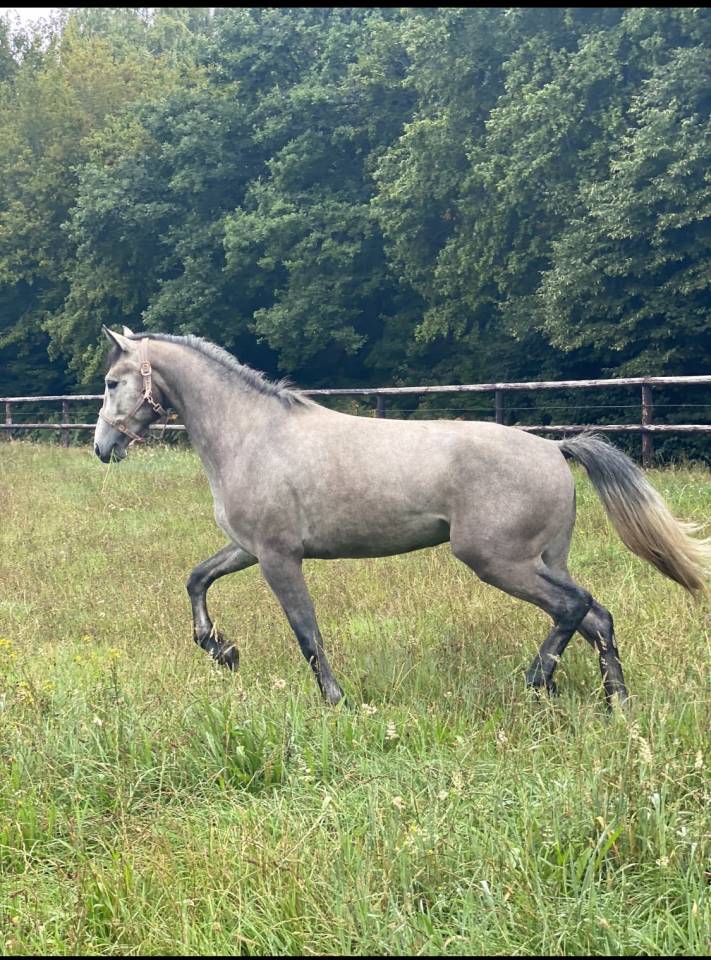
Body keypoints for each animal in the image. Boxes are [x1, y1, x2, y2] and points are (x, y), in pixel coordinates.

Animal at [93, 327, 710, 707]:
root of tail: (554, 448)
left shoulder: (277, 556)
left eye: (111, 382)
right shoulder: (248, 548)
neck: (251, 434)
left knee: (574, 607)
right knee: (597, 617)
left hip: (499, 562)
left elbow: (306, 630)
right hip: (543, 559)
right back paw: (616, 704)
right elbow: (196, 579)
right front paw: (223, 650)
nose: (103, 447)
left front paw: (334, 700)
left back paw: (538, 682)